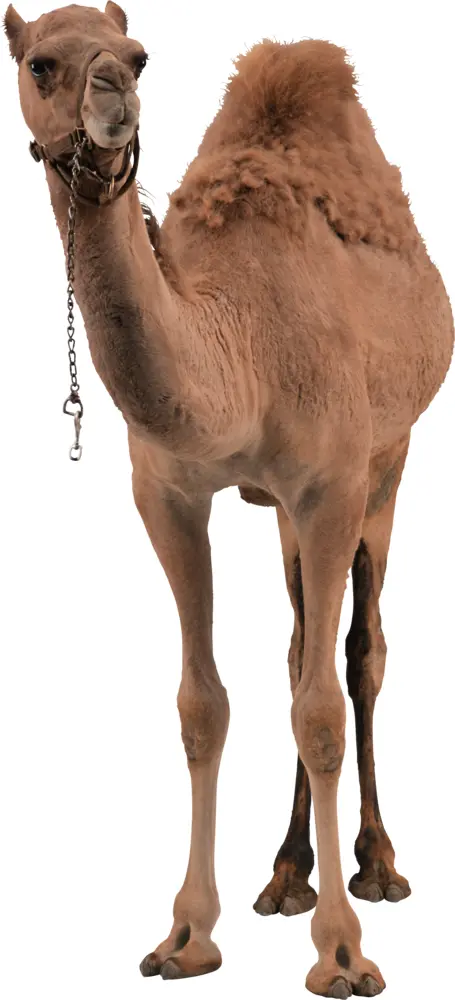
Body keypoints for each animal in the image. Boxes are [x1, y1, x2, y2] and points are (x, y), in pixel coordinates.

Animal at [4, 3, 454, 996]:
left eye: (138, 56)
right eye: (41, 63)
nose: (113, 96)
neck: (240, 341)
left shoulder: (331, 482)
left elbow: (324, 708)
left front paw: (342, 953)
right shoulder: (168, 494)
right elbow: (202, 703)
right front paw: (185, 935)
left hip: (388, 460)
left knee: (358, 653)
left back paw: (376, 865)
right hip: (284, 509)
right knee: (296, 648)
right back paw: (284, 875)